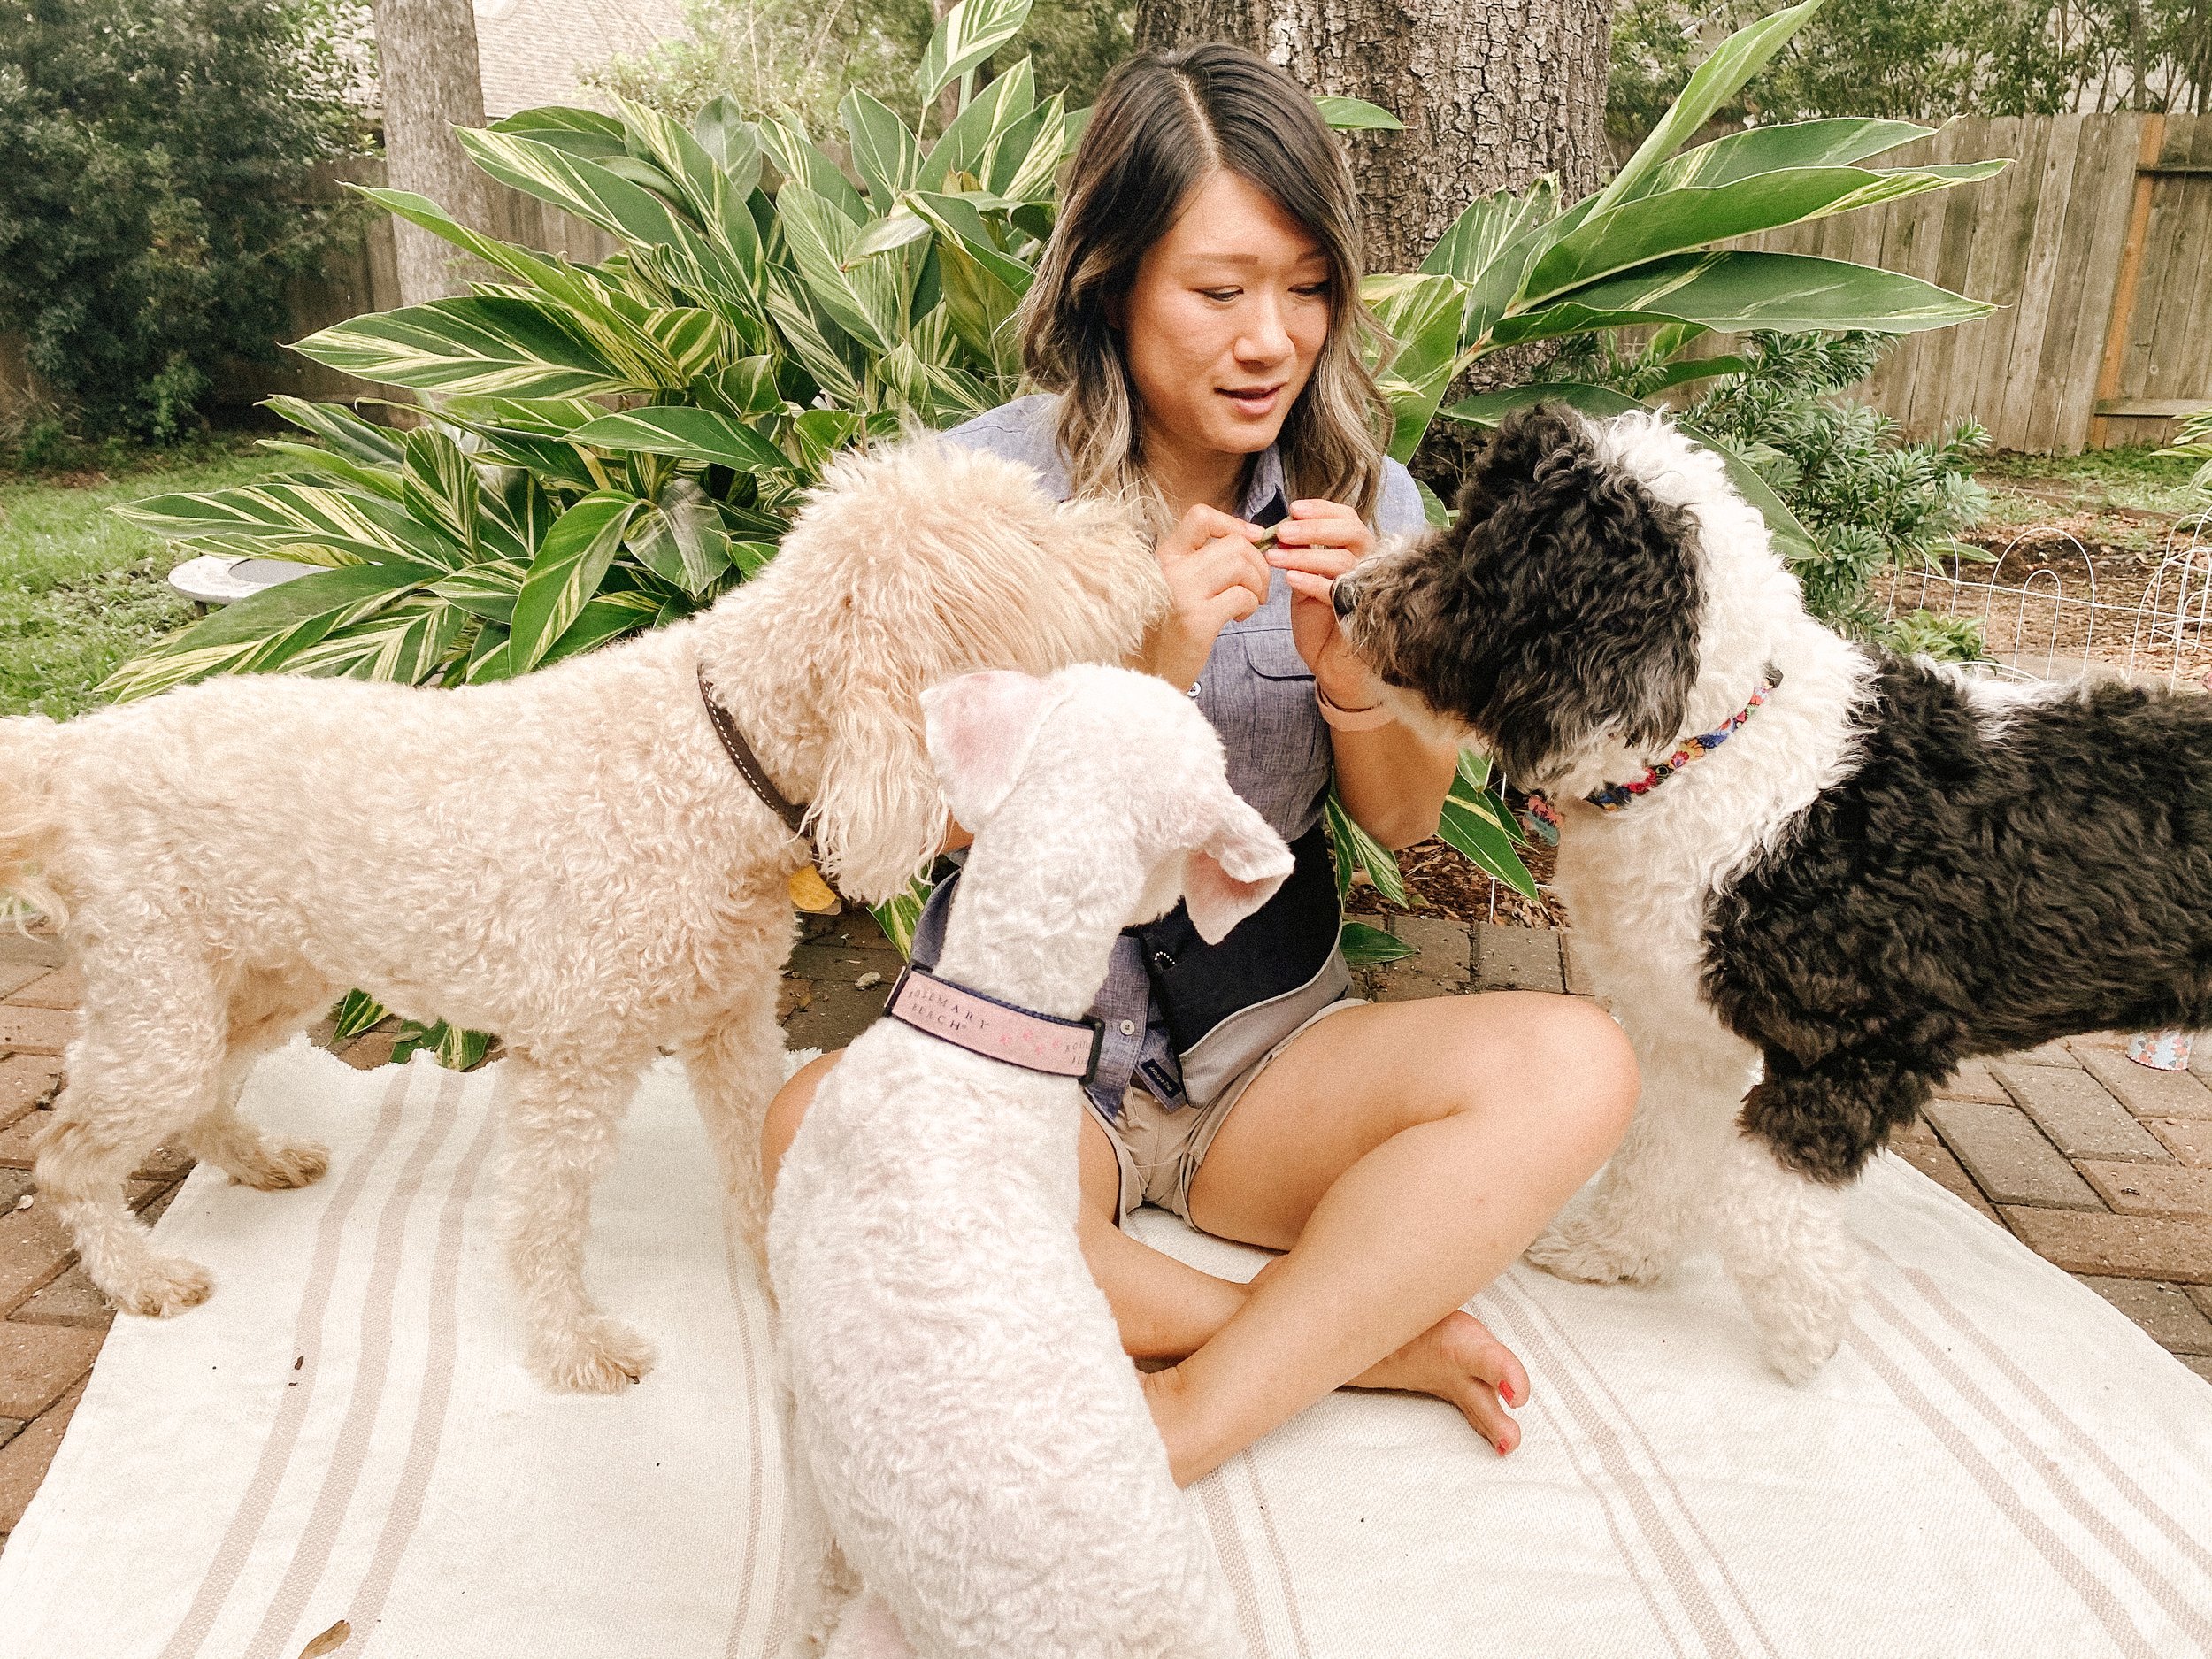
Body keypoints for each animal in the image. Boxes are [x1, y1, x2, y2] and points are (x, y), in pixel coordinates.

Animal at [0, 440, 1166, 1392]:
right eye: (1037, 535)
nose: (1143, 525)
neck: (719, 752)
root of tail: (74, 746)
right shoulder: (573, 1063)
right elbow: (544, 1216)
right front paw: (571, 1347)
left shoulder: (734, 1024)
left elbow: (756, 1157)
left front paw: (778, 1276)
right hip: (164, 1002)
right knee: (67, 1152)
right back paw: (140, 1275)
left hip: (269, 979)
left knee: (202, 1092)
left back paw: (251, 1160)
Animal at [1331, 404, 2212, 1380]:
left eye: (1479, 547)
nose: (1341, 594)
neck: (1717, 753)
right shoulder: (1686, 1034)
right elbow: (1657, 1153)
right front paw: (1610, 1251)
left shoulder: (1860, 1044)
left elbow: (1754, 1195)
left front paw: (1805, 1334)